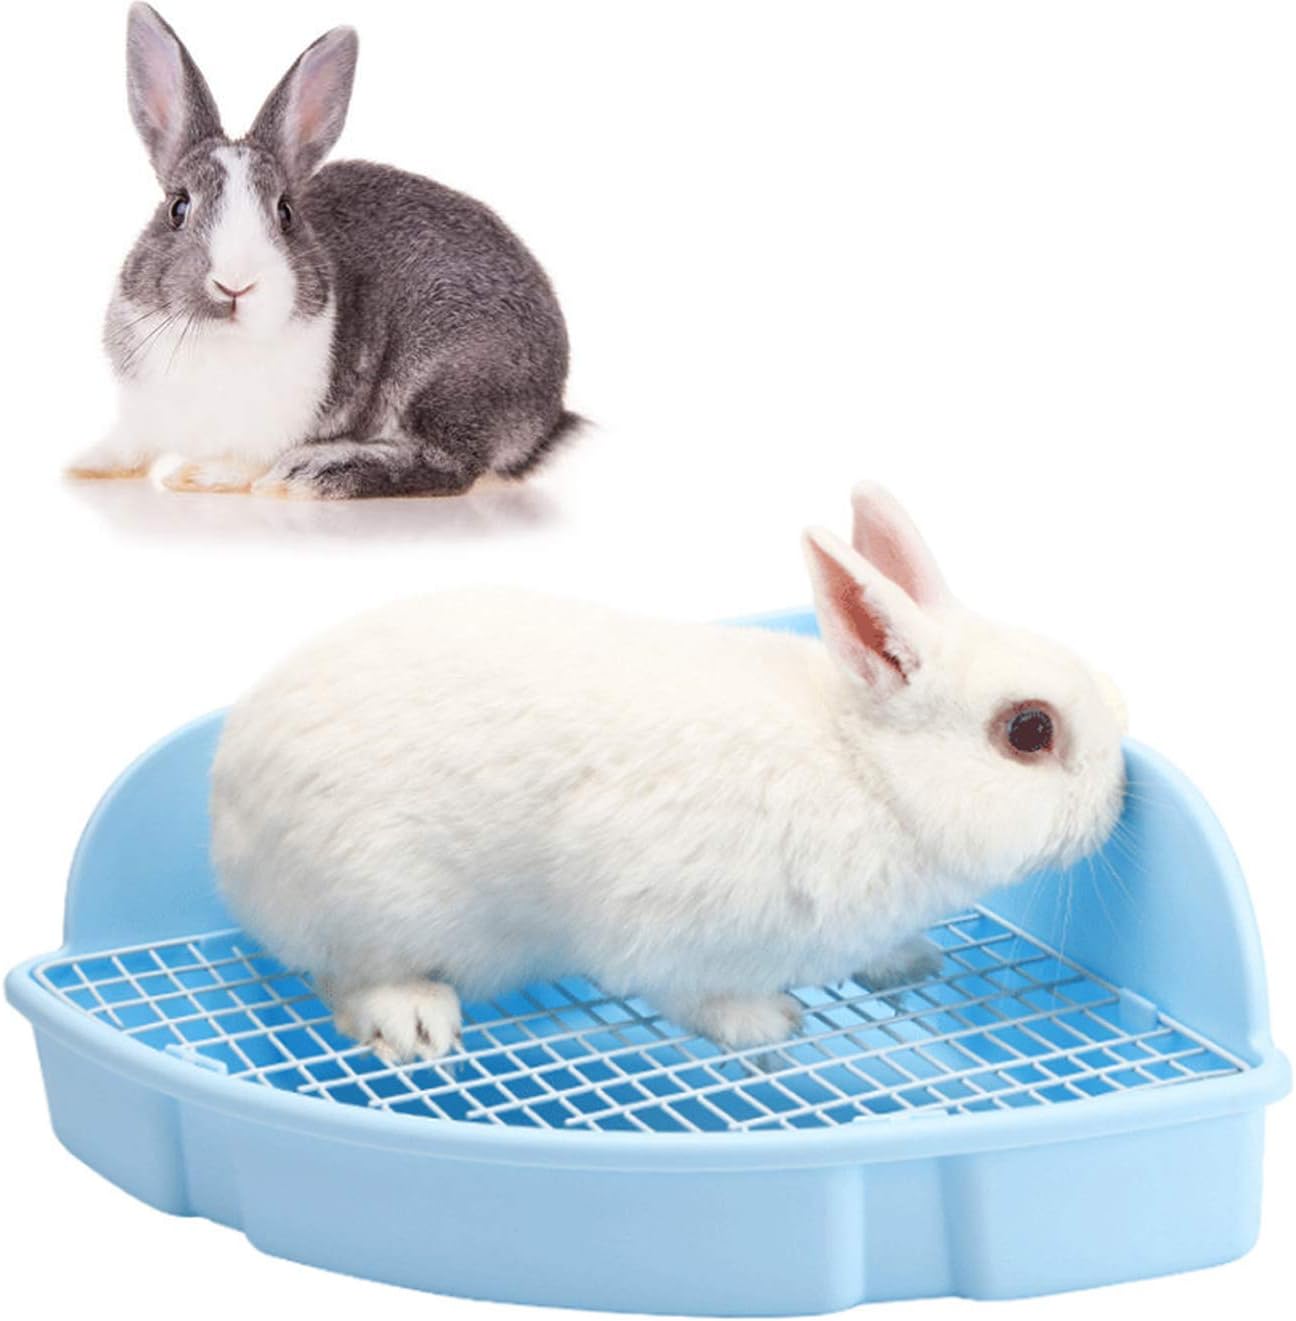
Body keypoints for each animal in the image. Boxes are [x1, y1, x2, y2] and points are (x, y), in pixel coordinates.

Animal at [69, 5, 576, 499]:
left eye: (286, 212)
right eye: (178, 208)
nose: (235, 285)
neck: (221, 342)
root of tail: (547, 414)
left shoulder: (271, 431)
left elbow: (245, 463)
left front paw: (201, 476)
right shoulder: (143, 414)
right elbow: (131, 446)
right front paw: (85, 465)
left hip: (451, 375)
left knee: (448, 464)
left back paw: (316, 471)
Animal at [211, 483, 1128, 1060]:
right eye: (1029, 729)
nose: (1117, 797)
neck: (872, 774)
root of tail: (225, 813)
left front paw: (910, 960)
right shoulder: (665, 930)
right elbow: (698, 995)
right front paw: (769, 1024)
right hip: (376, 905)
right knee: (346, 977)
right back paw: (415, 1022)